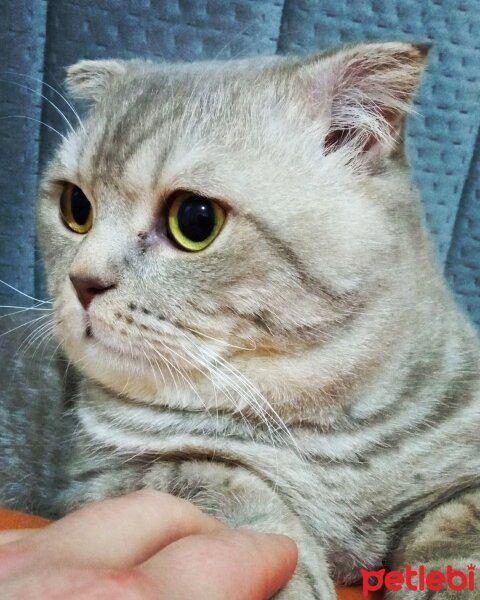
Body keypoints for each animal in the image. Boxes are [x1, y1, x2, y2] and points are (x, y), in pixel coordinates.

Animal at [21, 41, 480, 596]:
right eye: (76, 207)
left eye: (194, 220)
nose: (82, 281)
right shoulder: (104, 474)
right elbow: (220, 480)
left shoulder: (466, 476)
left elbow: (457, 532)